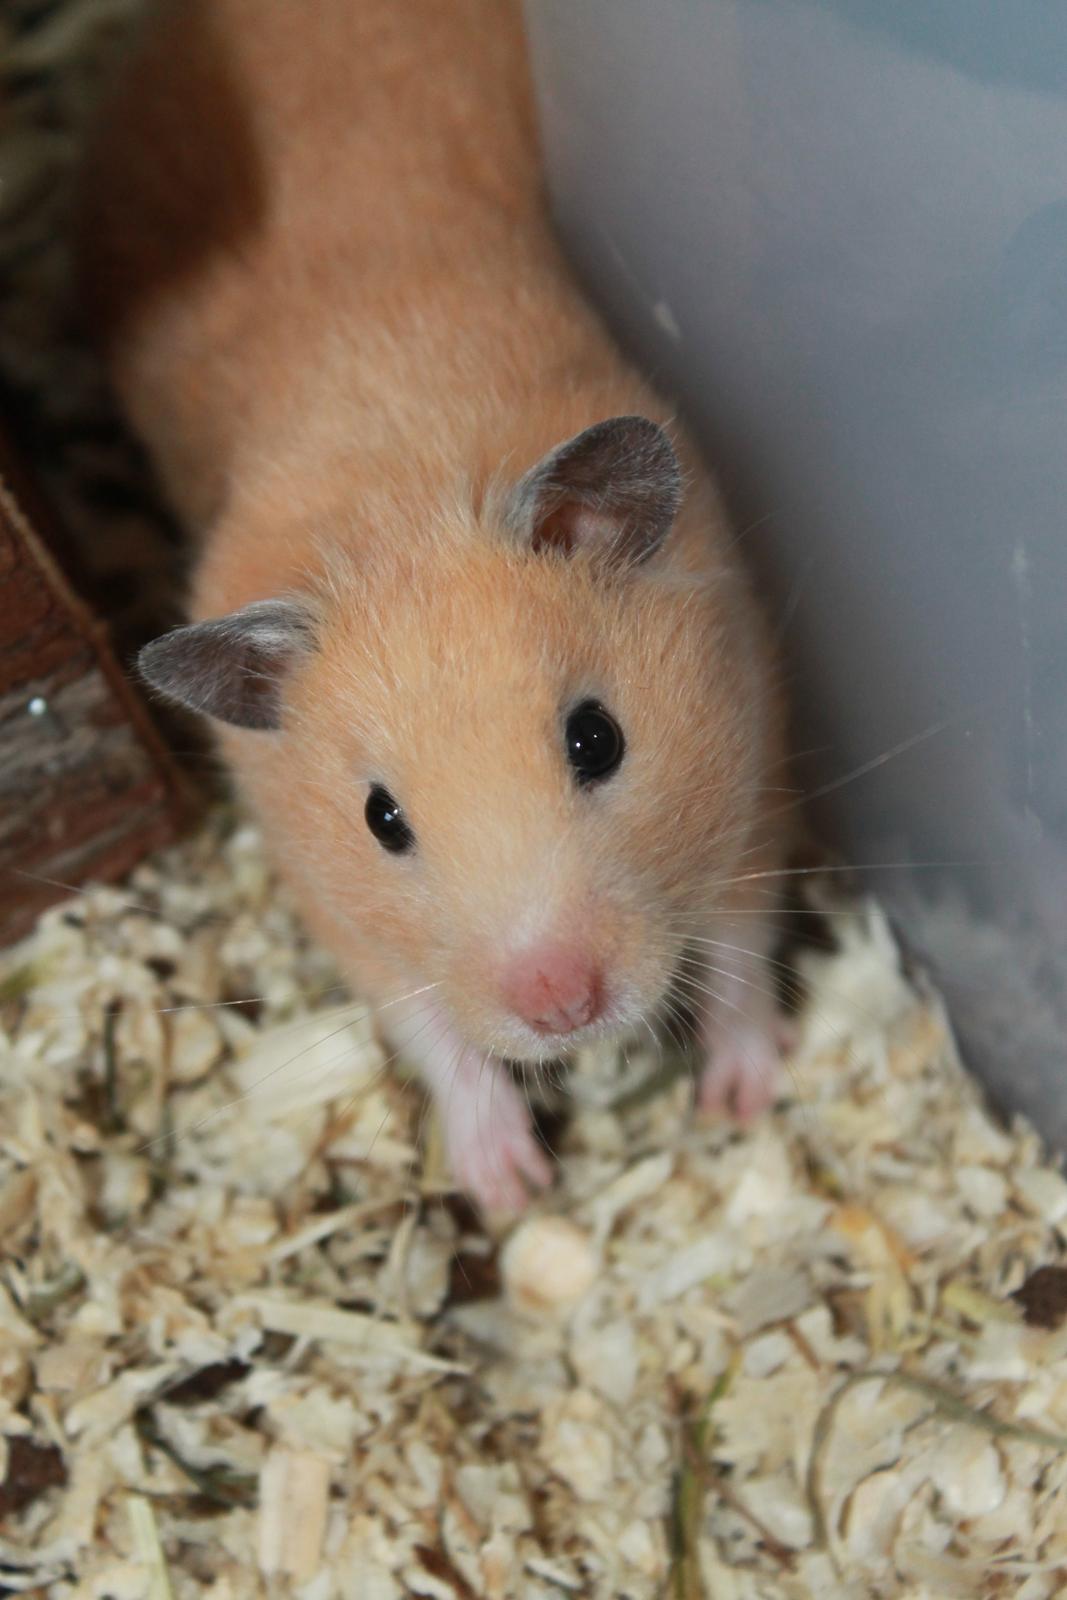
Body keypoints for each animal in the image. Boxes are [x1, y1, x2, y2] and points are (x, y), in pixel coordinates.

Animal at [81, 0, 792, 1211]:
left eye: (597, 739)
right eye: (382, 820)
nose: (561, 1007)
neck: (403, 494)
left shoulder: (752, 765)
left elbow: (742, 942)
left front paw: (741, 1097)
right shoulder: (348, 924)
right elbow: (435, 1038)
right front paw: (511, 1184)